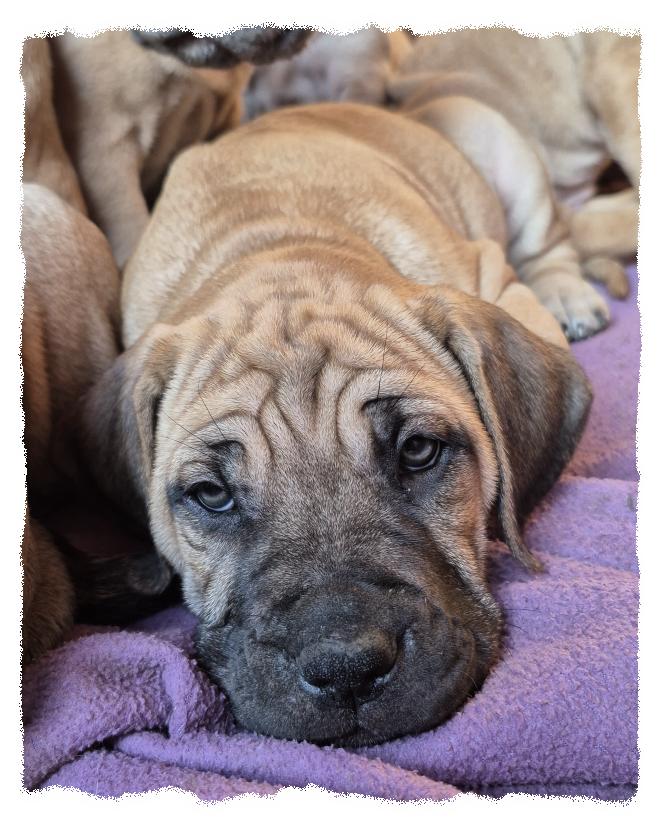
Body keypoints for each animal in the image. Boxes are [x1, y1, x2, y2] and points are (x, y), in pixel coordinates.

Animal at [79, 102, 592, 745]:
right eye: (211, 494)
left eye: (418, 451)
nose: (346, 668)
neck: (282, 244)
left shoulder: (493, 274)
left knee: (548, 243)